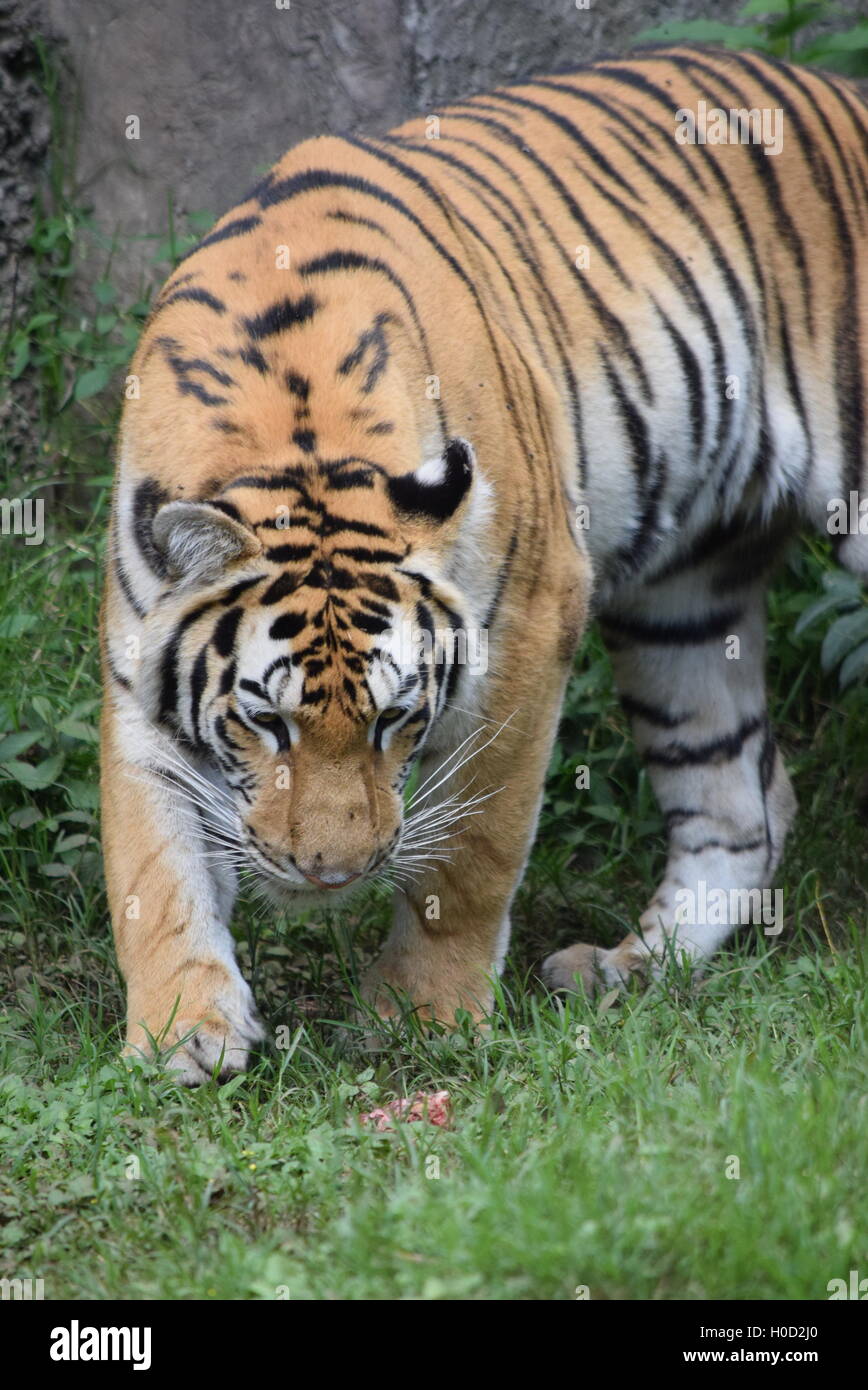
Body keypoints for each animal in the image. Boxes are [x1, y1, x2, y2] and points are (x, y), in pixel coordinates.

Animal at [103, 43, 868, 1078]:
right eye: (267, 723)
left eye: (393, 719)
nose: (333, 874)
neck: (296, 431)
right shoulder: (138, 663)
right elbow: (152, 862)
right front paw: (183, 1031)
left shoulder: (530, 626)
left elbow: (473, 850)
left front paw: (421, 1015)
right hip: (684, 600)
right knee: (742, 805)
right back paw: (629, 968)